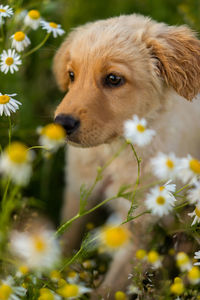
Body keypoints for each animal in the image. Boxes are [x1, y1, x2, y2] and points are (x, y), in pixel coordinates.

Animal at [53, 13, 200, 298]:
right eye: (72, 75)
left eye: (113, 79)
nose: (61, 124)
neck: (114, 151)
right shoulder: (77, 188)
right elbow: (68, 231)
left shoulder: (139, 223)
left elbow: (113, 285)